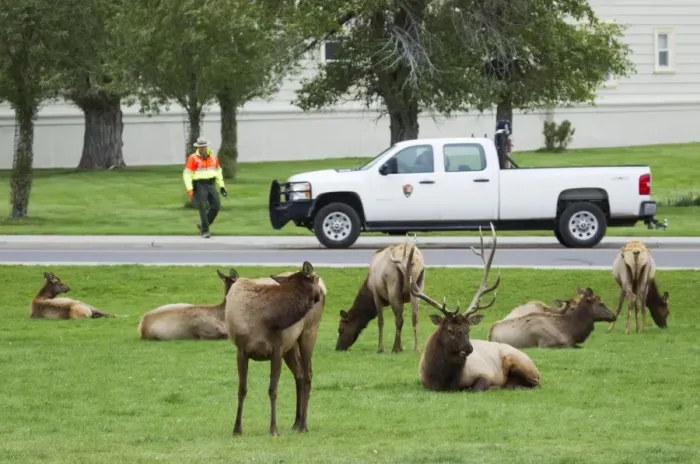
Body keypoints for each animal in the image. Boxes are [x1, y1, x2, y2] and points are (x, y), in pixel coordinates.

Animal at [225, 261, 326, 437]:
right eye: (316, 277)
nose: (322, 293)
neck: (266, 318)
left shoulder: (277, 349)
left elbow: (273, 390)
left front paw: (273, 429)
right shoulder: (241, 350)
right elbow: (242, 389)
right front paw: (237, 429)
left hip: (309, 332)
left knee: (308, 375)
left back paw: (304, 425)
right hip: (291, 347)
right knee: (300, 375)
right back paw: (297, 423)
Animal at [409, 223, 540, 392]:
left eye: (468, 329)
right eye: (450, 330)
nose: (469, 348)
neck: (446, 381)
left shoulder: (484, 373)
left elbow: (478, 387)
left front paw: (491, 387)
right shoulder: (425, 383)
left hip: (520, 362)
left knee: (533, 383)